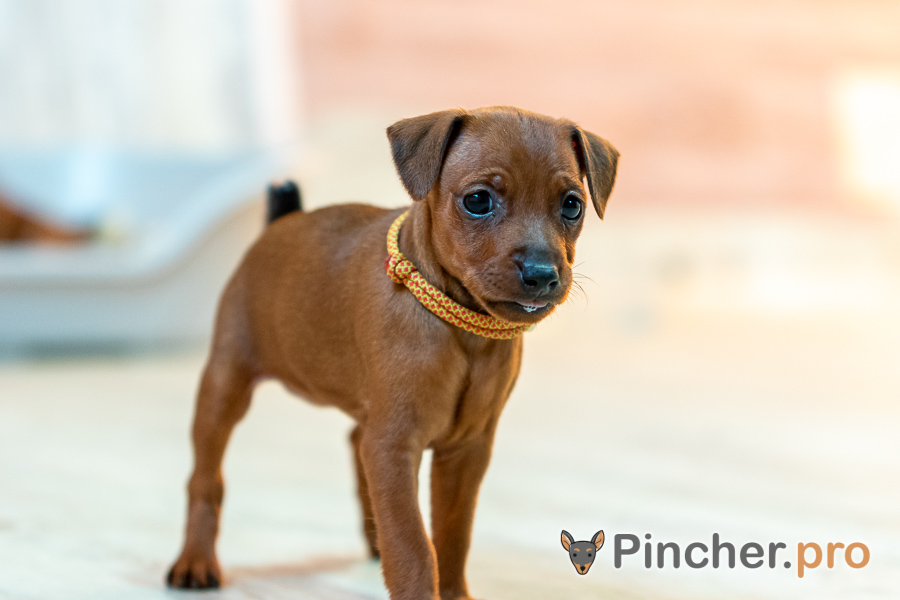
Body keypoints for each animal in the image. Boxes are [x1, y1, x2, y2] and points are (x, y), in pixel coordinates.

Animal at [166, 106, 618, 600]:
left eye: (572, 205)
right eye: (478, 201)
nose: (541, 273)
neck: (462, 330)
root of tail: (282, 221)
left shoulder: (465, 450)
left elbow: (452, 534)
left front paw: (454, 592)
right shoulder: (394, 447)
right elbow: (412, 545)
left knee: (354, 443)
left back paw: (371, 539)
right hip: (225, 383)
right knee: (204, 479)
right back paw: (195, 561)